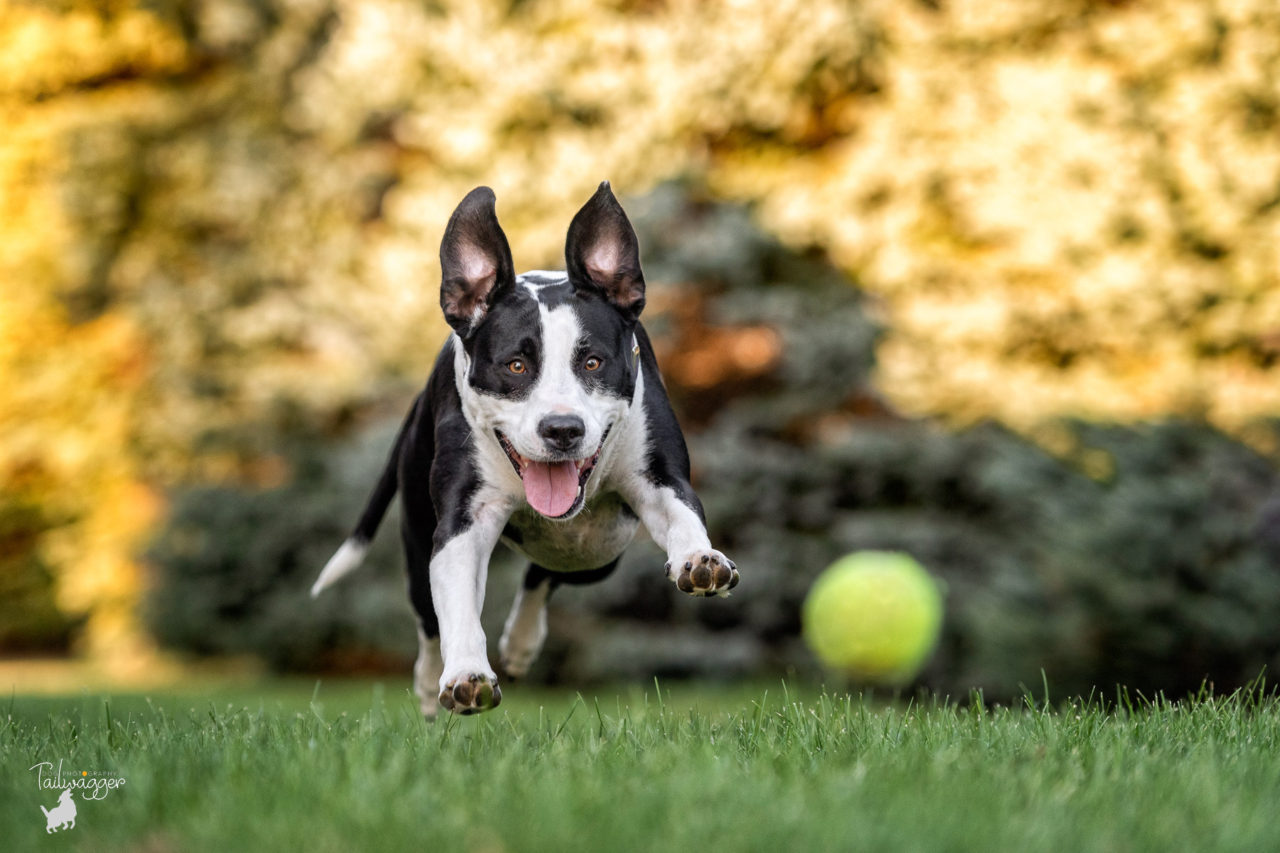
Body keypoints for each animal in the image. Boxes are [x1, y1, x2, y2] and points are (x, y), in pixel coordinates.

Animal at [307, 183, 742, 712]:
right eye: (515, 365)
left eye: (593, 362)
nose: (562, 428)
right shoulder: (461, 525)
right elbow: (456, 606)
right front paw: (466, 673)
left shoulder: (660, 480)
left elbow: (681, 516)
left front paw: (700, 559)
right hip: (417, 533)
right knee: (428, 620)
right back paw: (430, 685)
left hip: (598, 552)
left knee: (549, 568)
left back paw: (520, 642)